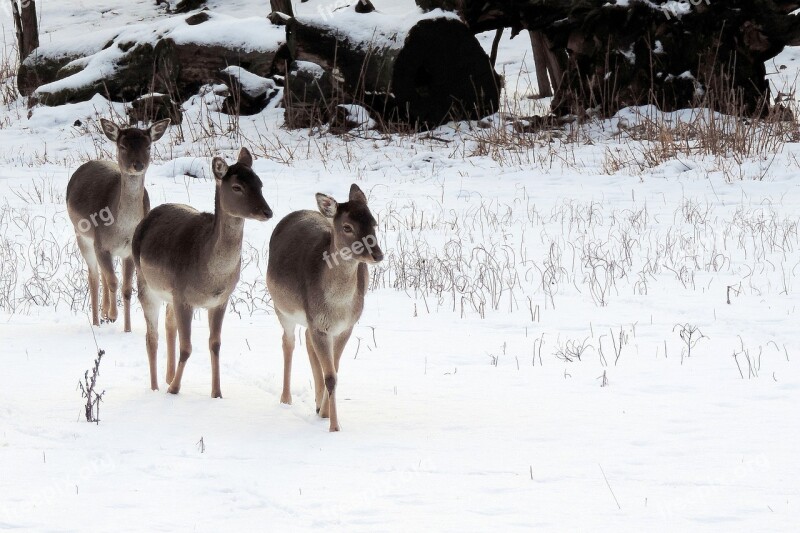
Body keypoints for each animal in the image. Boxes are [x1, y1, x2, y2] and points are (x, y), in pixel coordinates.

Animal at [67, 118, 170, 330]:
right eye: (122, 146)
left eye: (148, 146)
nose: (138, 165)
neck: (121, 229)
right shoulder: (100, 244)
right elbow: (113, 281)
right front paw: (112, 315)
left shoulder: (129, 252)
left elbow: (127, 289)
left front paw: (127, 328)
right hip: (82, 236)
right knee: (94, 276)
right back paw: (97, 320)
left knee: (103, 276)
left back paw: (103, 313)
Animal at [134, 148, 276, 396]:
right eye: (237, 187)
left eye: (259, 183)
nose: (267, 212)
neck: (211, 278)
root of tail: (146, 219)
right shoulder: (183, 296)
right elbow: (187, 347)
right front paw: (174, 390)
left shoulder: (220, 300)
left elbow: (215, 344)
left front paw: (217, 392)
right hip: (144, 282)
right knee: (151, 336)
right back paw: (155, 387)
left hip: (168, 294)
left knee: (169, 324)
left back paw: (168, 376)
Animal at [266, 185, 384, 430]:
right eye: (347, 227)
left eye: (374, 222)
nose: (377, 254)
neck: (337, 307)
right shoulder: (319, 324)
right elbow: (330, 376)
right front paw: (334, 427)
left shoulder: (346, 326)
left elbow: (334, 371)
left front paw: (325, 413)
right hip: (281, 307)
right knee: (288, 343)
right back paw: (286, 399)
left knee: (307, 342)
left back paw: (317, 403)